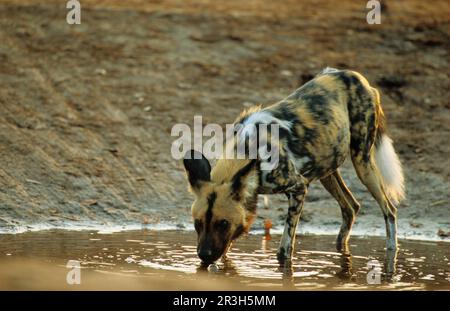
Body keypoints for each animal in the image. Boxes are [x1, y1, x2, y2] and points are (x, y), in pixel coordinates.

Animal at [183, 67, 404, 264]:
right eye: (197, 223)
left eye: (223, 223)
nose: (204, 255)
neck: (249, 150)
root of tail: (356, 77)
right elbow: (228, 247)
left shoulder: (299, 187)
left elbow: (285, 249)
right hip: (328, 170)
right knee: (351, 207)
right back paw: (341, 250)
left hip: (362, 163)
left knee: (389, 210)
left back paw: (391, 254)